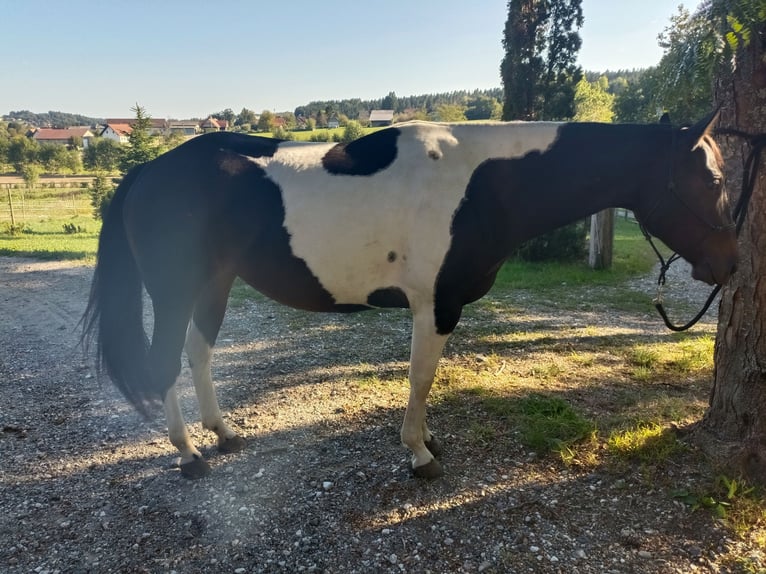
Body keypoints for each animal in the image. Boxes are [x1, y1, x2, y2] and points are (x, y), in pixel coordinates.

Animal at [82, 112, 737, 479]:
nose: (729, 264)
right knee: (165, 363)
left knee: (198, 354)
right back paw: (189, 456)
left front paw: (425, 441)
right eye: (710, 179)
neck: (481, 180)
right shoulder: (435, 306)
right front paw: (420, 455)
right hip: (174, 289)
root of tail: (148, 172)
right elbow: (421, 379)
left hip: (215, 283)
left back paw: (223, 434)